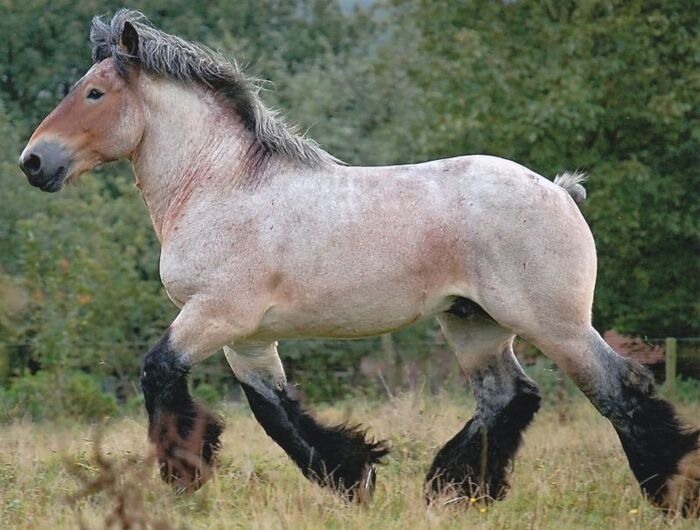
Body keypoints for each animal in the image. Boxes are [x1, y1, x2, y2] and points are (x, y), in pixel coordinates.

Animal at [19, 10, 699, 516]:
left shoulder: (214, 315)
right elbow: (277, 412)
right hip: (472, 321)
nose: (33, 162)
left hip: (554, 323)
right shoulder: (247, 337)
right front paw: (354, 478)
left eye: (95, 93)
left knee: (620, 389)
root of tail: (560, 190)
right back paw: (452, 491)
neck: (221, 185)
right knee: (508, 396)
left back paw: (670, 495)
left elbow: (160, 373)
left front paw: (184, 476)